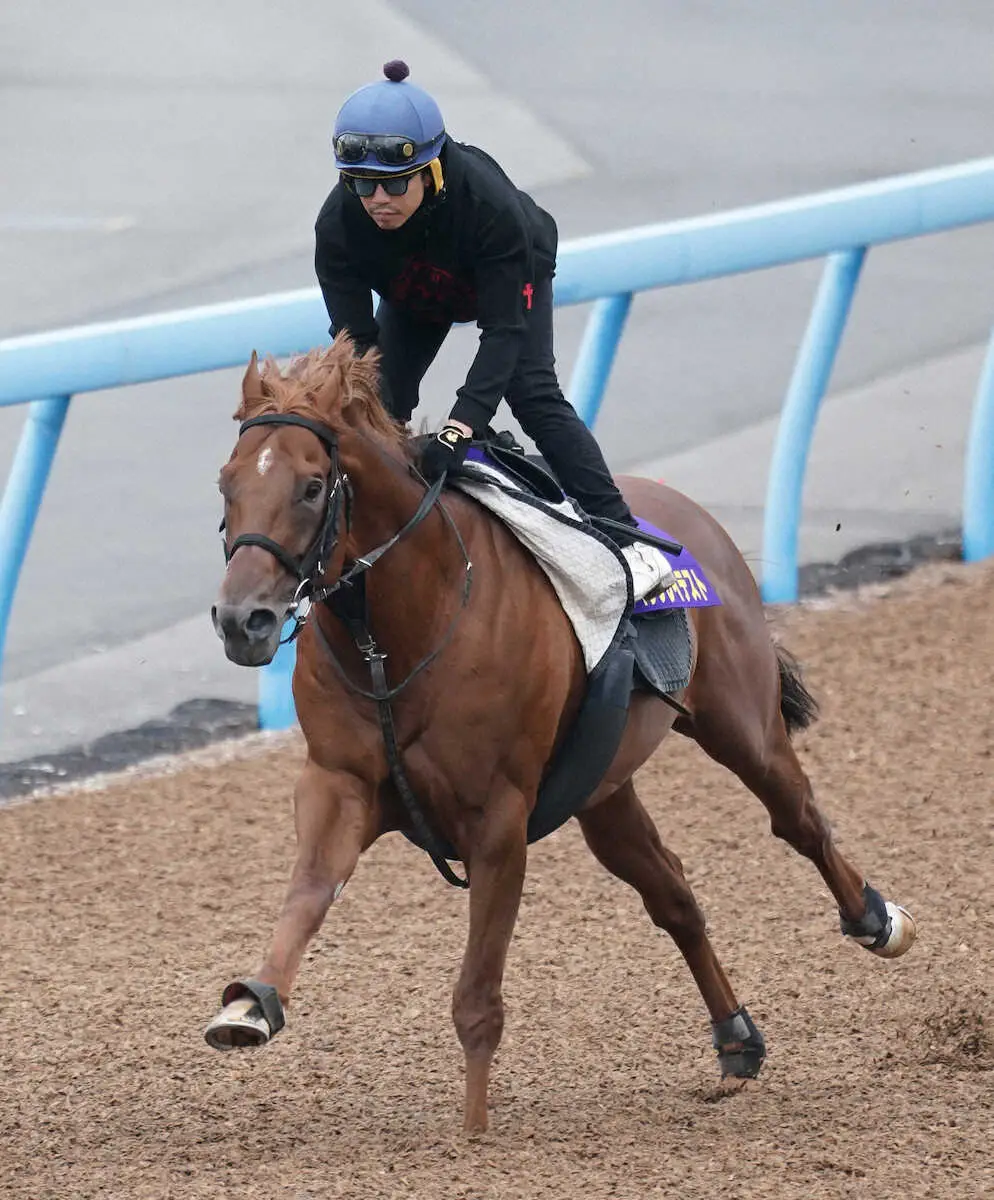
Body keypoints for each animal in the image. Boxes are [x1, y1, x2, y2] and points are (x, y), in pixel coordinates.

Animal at [207, 333, 917, 1128]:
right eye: (226, 485)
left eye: (309, 487)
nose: (242, 620)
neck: (401, 628)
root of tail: (683, 513)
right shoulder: (340, 784)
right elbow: (307, 893)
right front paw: (249, 1007)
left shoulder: (497, 818)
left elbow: (476, 1000)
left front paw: (475, 1132)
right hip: (602, 787)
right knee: (672, 891)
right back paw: (736, 1037)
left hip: (742, 726)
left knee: (800, 820)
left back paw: (876, 919)